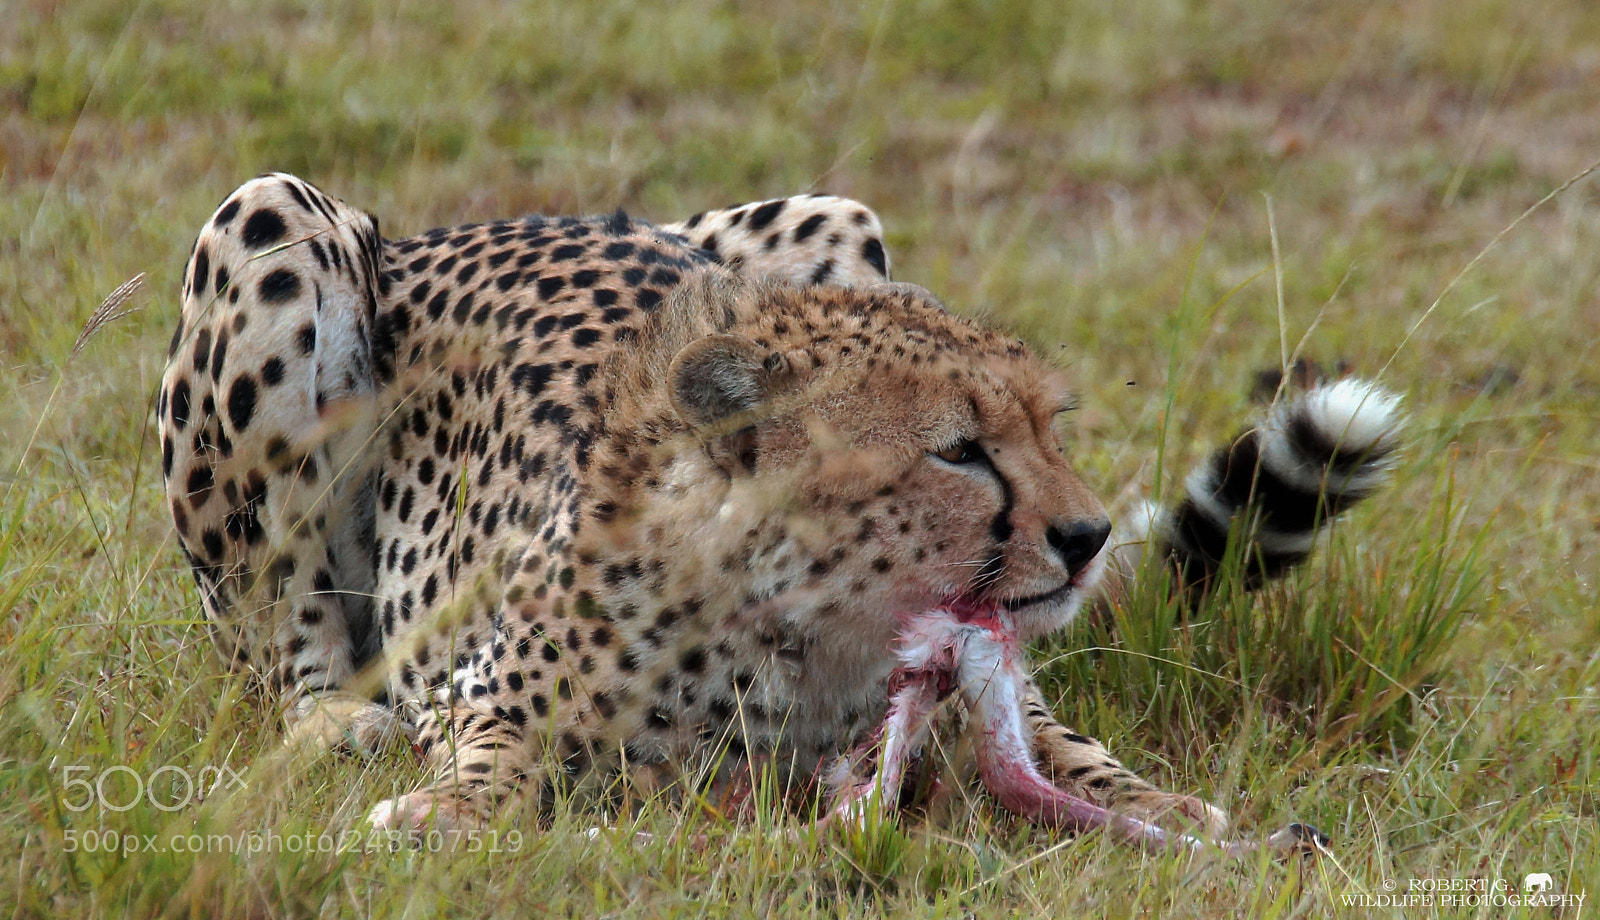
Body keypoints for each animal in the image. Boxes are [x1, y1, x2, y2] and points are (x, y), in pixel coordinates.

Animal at [156, 172, 1402, 852]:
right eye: (959, 450)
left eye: (1047, 427)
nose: (1087, 539)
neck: (804, 625)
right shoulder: (478, 686)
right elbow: (495, 753)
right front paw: (446, 810)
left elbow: (1066, 745)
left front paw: (1170, 808)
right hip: (272, 220)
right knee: (276, 623)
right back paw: (333, 721)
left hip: (836, 217)